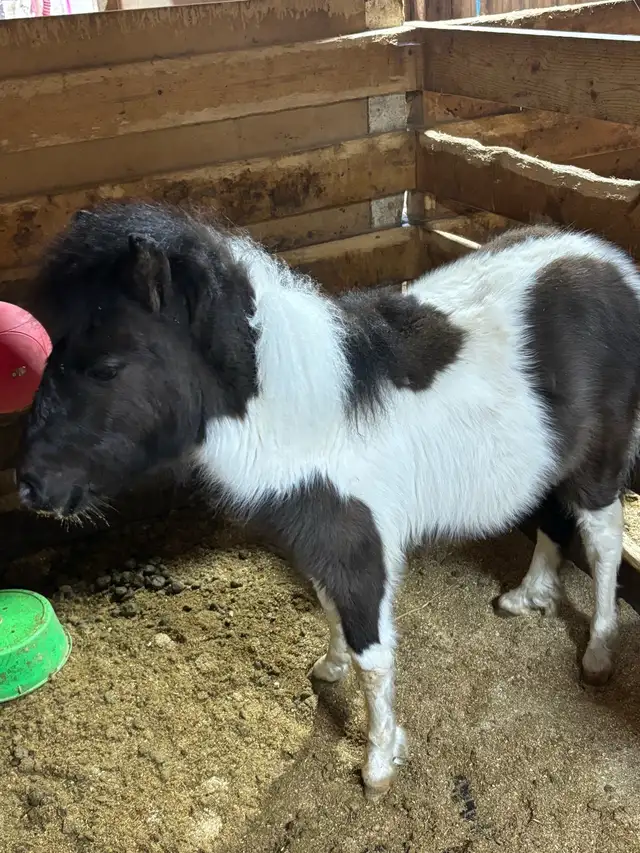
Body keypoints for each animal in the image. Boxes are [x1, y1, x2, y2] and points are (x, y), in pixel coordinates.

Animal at [17, 202, 640, 799]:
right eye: (49, 354)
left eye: (107, 368)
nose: (31, 485)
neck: (307, 420)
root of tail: (611, 264)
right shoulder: (316, 542)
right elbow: (328, 609)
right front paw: (331, 667)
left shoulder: (360, 550)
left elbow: (375, 656)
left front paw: (379, 764)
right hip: (554, 460)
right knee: (552, 520)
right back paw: (526, 597)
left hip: (598, 467)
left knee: (604, 546)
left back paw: (598, 653)